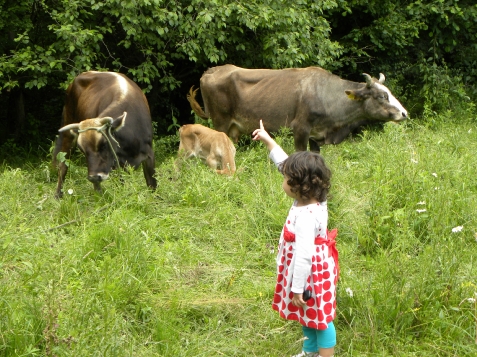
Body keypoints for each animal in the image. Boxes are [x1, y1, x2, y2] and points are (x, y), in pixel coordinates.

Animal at [188, 64, 408, 151]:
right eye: (381, 96)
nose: (404, 113)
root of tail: (211, 70)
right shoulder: (300, 129)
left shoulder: (317, 137)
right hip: (220, 123)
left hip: (233, 130)